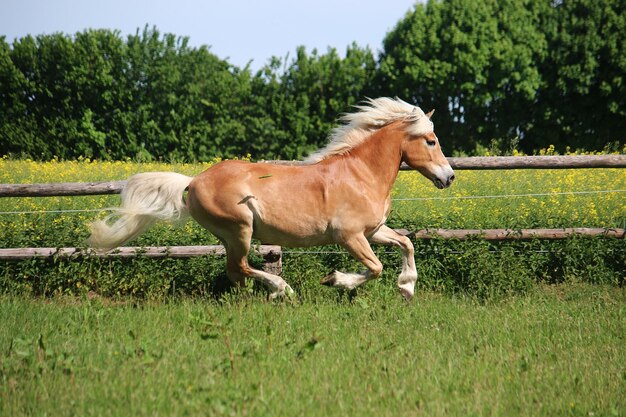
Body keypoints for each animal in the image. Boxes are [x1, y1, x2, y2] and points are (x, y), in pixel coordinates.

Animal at [86, 97, 454, 300]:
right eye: (431, 141)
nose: (449, 177)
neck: (360, 174)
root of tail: (193, 181)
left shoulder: (373, 231)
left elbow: (406, 244)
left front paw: (407, 288)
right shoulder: (350, 236)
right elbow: (375, 268)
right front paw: (336, 280)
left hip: (231, 235)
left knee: (235, 272)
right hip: (240, 229)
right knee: (241, 266)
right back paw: (282, 289)